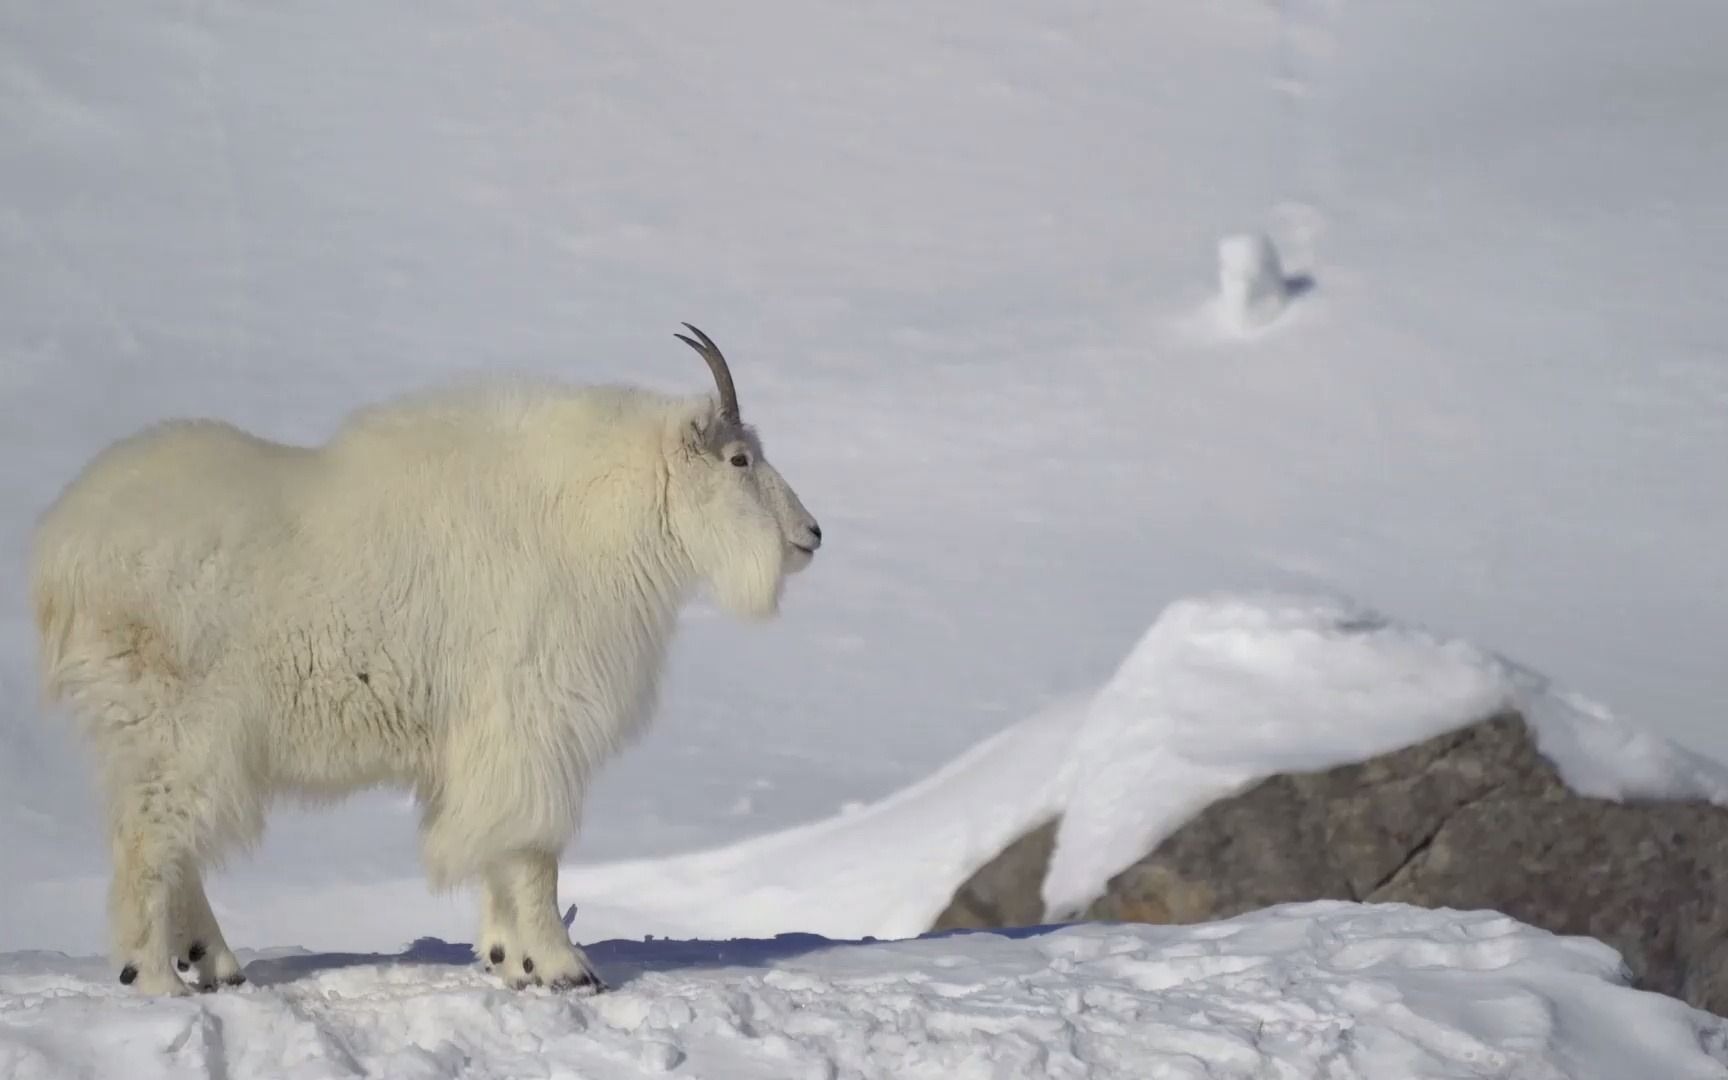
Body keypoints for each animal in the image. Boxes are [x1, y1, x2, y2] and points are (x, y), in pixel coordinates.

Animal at [28, 326, 822, 995]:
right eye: (740, 459)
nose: (810, 534)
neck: (590, 516)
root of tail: (59, 554)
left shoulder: (489, 743)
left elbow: (500, 847)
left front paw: (508, 959)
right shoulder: (530, 723)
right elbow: (534, 850)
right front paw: (565, 968)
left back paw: (217, 963)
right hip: (175, 727)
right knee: (149, 843)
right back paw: (158, 978)